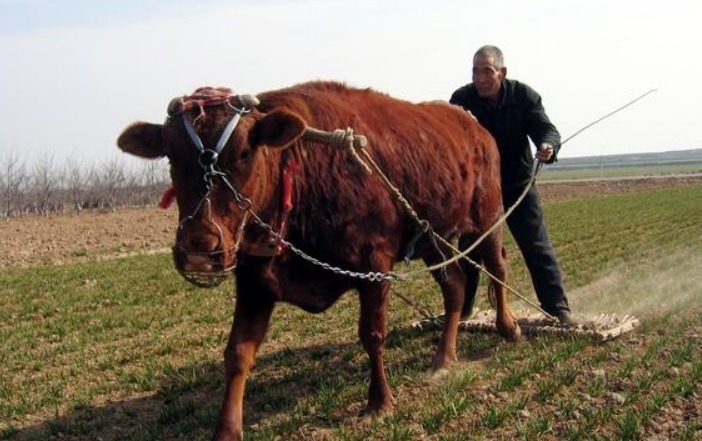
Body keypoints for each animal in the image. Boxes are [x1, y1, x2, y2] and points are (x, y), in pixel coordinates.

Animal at [117, 81, 524, 438]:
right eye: (171, 155)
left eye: (244, 153)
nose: (199, 246)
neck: (298, 171)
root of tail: (474, 125)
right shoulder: (253, 280)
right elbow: (237, 353)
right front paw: (227, 429)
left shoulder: (375, 265)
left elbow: (372, 334)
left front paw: (379, 402)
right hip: (431, 238)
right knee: (455, 285)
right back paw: (443, 358)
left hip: (488, 215)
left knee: (497, 266)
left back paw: (508, 327)